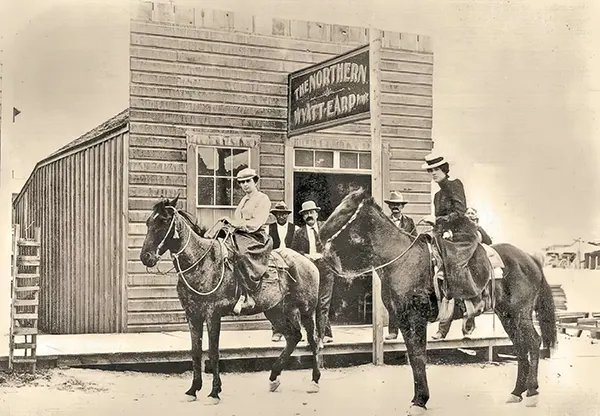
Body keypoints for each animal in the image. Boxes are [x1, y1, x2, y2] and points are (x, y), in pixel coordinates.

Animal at [139, 197, 324, 404]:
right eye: (148, 222)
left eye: (163, 221)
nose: (146, 257)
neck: (201, 263)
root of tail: (308, 261)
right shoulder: (192, 314)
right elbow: (196, 351)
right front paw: (193, 389)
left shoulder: (212, 313)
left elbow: (213, 351)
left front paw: (214, 392)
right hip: (276, 310)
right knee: (293, 337)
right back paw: (274, 378)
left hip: (306, 310)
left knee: (313, 340)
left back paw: (314, 381)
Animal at [318, 189, 556, 416]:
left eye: (346, 209)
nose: (320, 236)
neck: (403, 261)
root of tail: (530, 259)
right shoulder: (404, 321)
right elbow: (414, 357)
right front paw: (418, 399)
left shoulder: (416, 319)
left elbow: (419, 357)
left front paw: (420, 401)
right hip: (507, 315)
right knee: (520, 347)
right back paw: (516, 392)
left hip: (521, 313)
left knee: (533, 342)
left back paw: (532, 393)